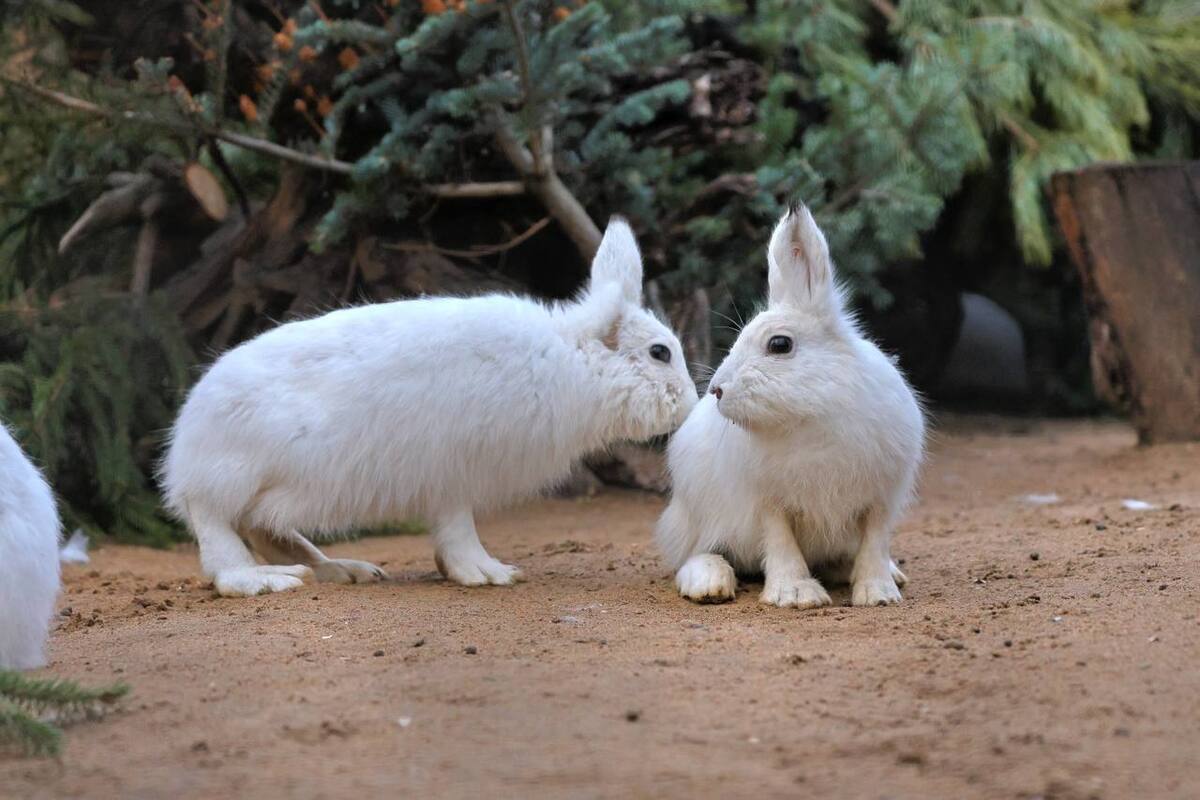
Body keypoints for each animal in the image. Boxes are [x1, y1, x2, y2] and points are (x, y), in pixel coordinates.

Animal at [163, 217, 698, 597]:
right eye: (660, 353)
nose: (690, 406)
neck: (570, 360)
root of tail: (182, 452)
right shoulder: (452, 472)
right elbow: (458, 530)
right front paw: (490, 574)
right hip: (232, 479)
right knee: (217, 535)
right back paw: (265, 580)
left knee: (267, 530)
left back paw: (343, 570)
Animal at [655, 205, 925, 609]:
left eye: (779, 345)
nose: (717, 389)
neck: (812, 414)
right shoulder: (769, 503)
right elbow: (781, 543)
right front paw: (796, 595)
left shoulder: (879, 500)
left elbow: (874, 544)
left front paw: (878, 594)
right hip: (697, 510)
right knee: (699, 552)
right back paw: (709, 584)